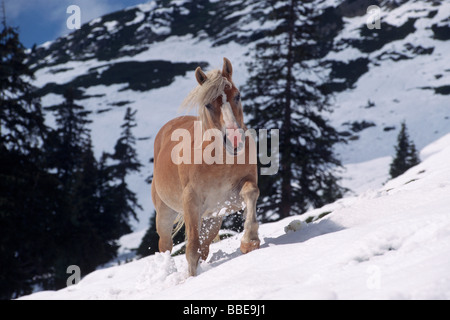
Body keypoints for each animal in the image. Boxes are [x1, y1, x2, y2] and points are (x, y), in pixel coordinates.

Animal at [152, 57, 260, 276]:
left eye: (237, 95)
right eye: (209, 104)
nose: (234, 140)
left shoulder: (232, 197)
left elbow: (251, 192)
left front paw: (250, 241)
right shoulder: (191, 202)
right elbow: (191, 250)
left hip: (211, 219)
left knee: (204, 248)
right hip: (165, 214)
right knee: (166, 247)